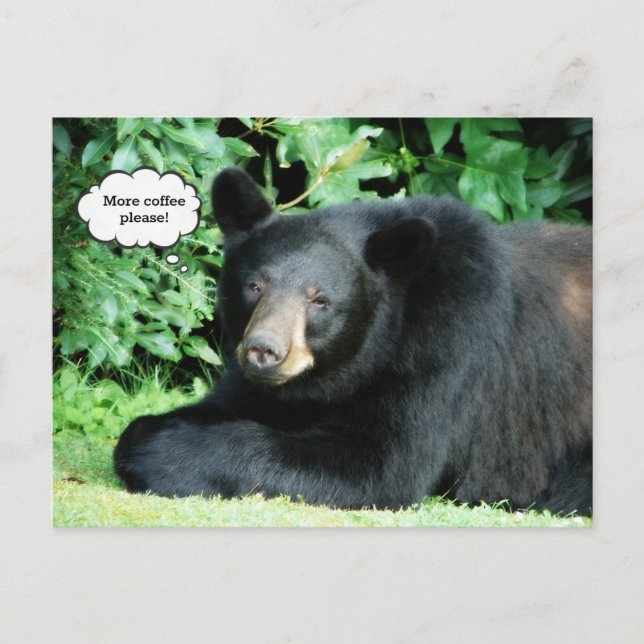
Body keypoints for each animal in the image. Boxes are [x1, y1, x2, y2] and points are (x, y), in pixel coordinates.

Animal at [114, 166, 592, 516]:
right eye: (255, 285)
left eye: (320, 300)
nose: (264, 351)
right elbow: (230, 404)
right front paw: (149, 431)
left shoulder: (452, 342)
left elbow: (382, 463)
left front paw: (165, 453)